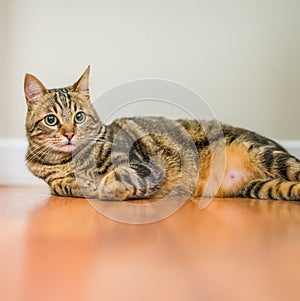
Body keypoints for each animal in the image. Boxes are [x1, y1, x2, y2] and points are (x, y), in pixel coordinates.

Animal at [24, 66, 300, 200]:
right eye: (51, 120)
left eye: (79, 117)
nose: (69, 134)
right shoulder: (54, 181)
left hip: (267, 155)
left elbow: (121, 175)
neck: (69, 162)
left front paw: (106, 186)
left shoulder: (145, 163)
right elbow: (60, 186)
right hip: (264, 187)